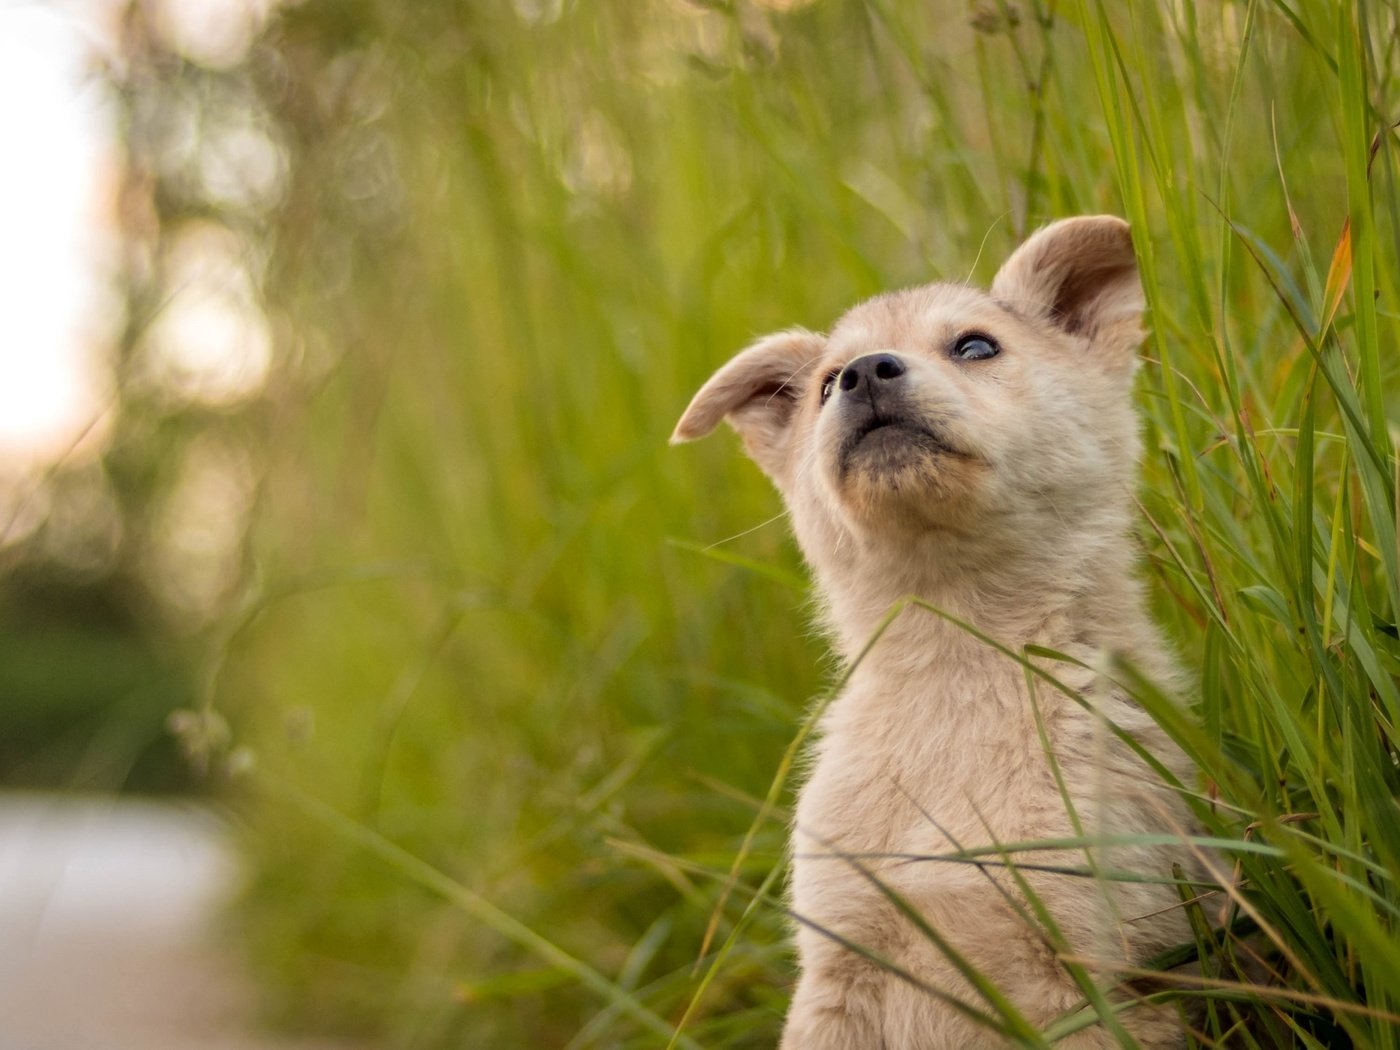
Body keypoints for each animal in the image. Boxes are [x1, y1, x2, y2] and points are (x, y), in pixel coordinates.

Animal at [674, 215, 1192, 1050]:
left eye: (976, 346)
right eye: (827, 385)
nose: (864, 374)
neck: (960, 657)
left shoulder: (1095, 971)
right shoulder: (839, 968)